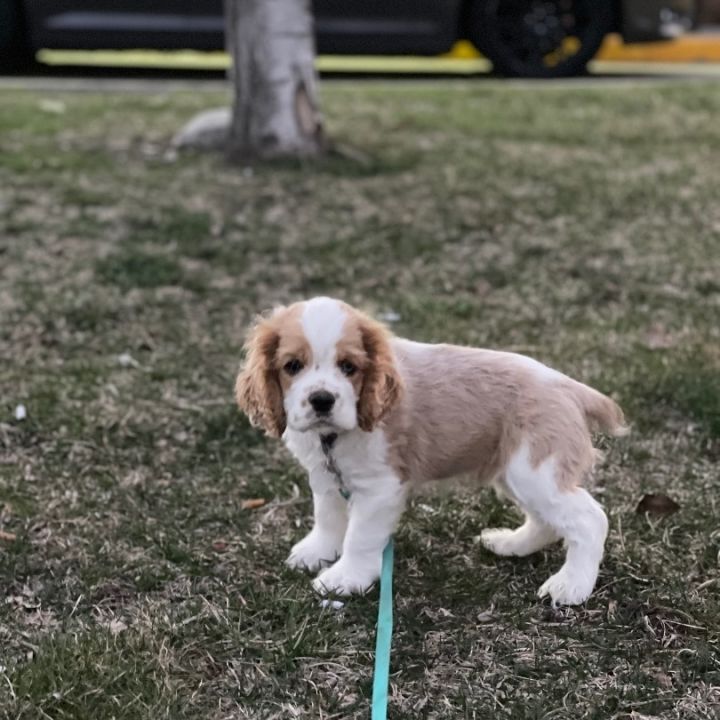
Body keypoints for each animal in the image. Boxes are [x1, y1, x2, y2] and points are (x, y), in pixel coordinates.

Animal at [235, 296, 624, 604]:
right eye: (292, 366)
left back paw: (570, 586)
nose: (321, 400)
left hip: (535, 470)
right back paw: (510, 544)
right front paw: (318, 551)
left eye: (349, 367)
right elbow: (327, 516)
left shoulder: (380, 488)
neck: (334, 435)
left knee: (590, 519)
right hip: (513, 472)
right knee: (547, 520)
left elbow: (359, 536)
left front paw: (345, 578)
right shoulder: (326, 475)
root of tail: (570, 388)